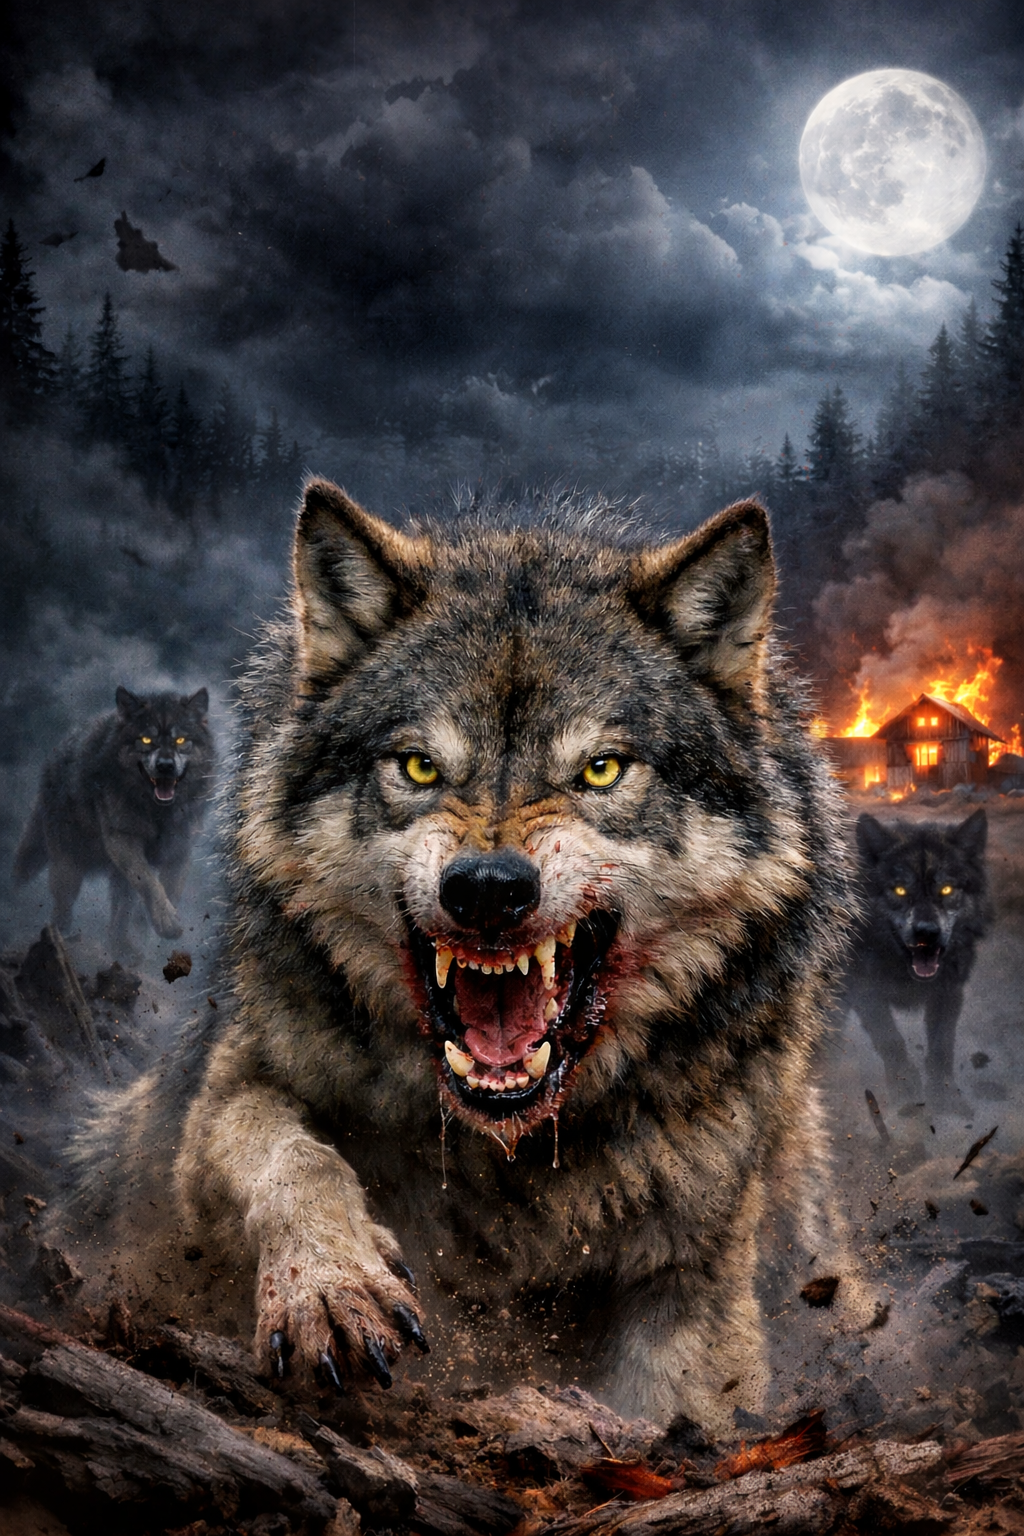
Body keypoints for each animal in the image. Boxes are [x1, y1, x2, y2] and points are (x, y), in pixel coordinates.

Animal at [13, 687, 214, 952]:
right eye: (146, 740)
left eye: (180, 740)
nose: (165, 766)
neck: (158, 812)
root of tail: (55, 756)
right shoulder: (122, 838)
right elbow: (148, 882)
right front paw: (167, 922)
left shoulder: (179, 849)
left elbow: (168, 890)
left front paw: (155, 930)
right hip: (66, 866)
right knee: (59, 909)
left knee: (117, 918)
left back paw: (123, 949)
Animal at [67, 481, 857, 1435]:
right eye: (418, 767)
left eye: (601, 770)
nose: (486, 889)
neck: (510, 1154)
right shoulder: (229, 1093)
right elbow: (293, 1159)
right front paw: (331, 1288)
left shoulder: (694, 1279)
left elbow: (677, 1407)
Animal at [843, 810, 992, 1110]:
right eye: (900, 890)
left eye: (946, 889)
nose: (927, 933)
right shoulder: (865, 992)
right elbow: (890, 1040)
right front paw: (906, 1090)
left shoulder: (948, 992)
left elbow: (942, 1047)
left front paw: (944, 1097)